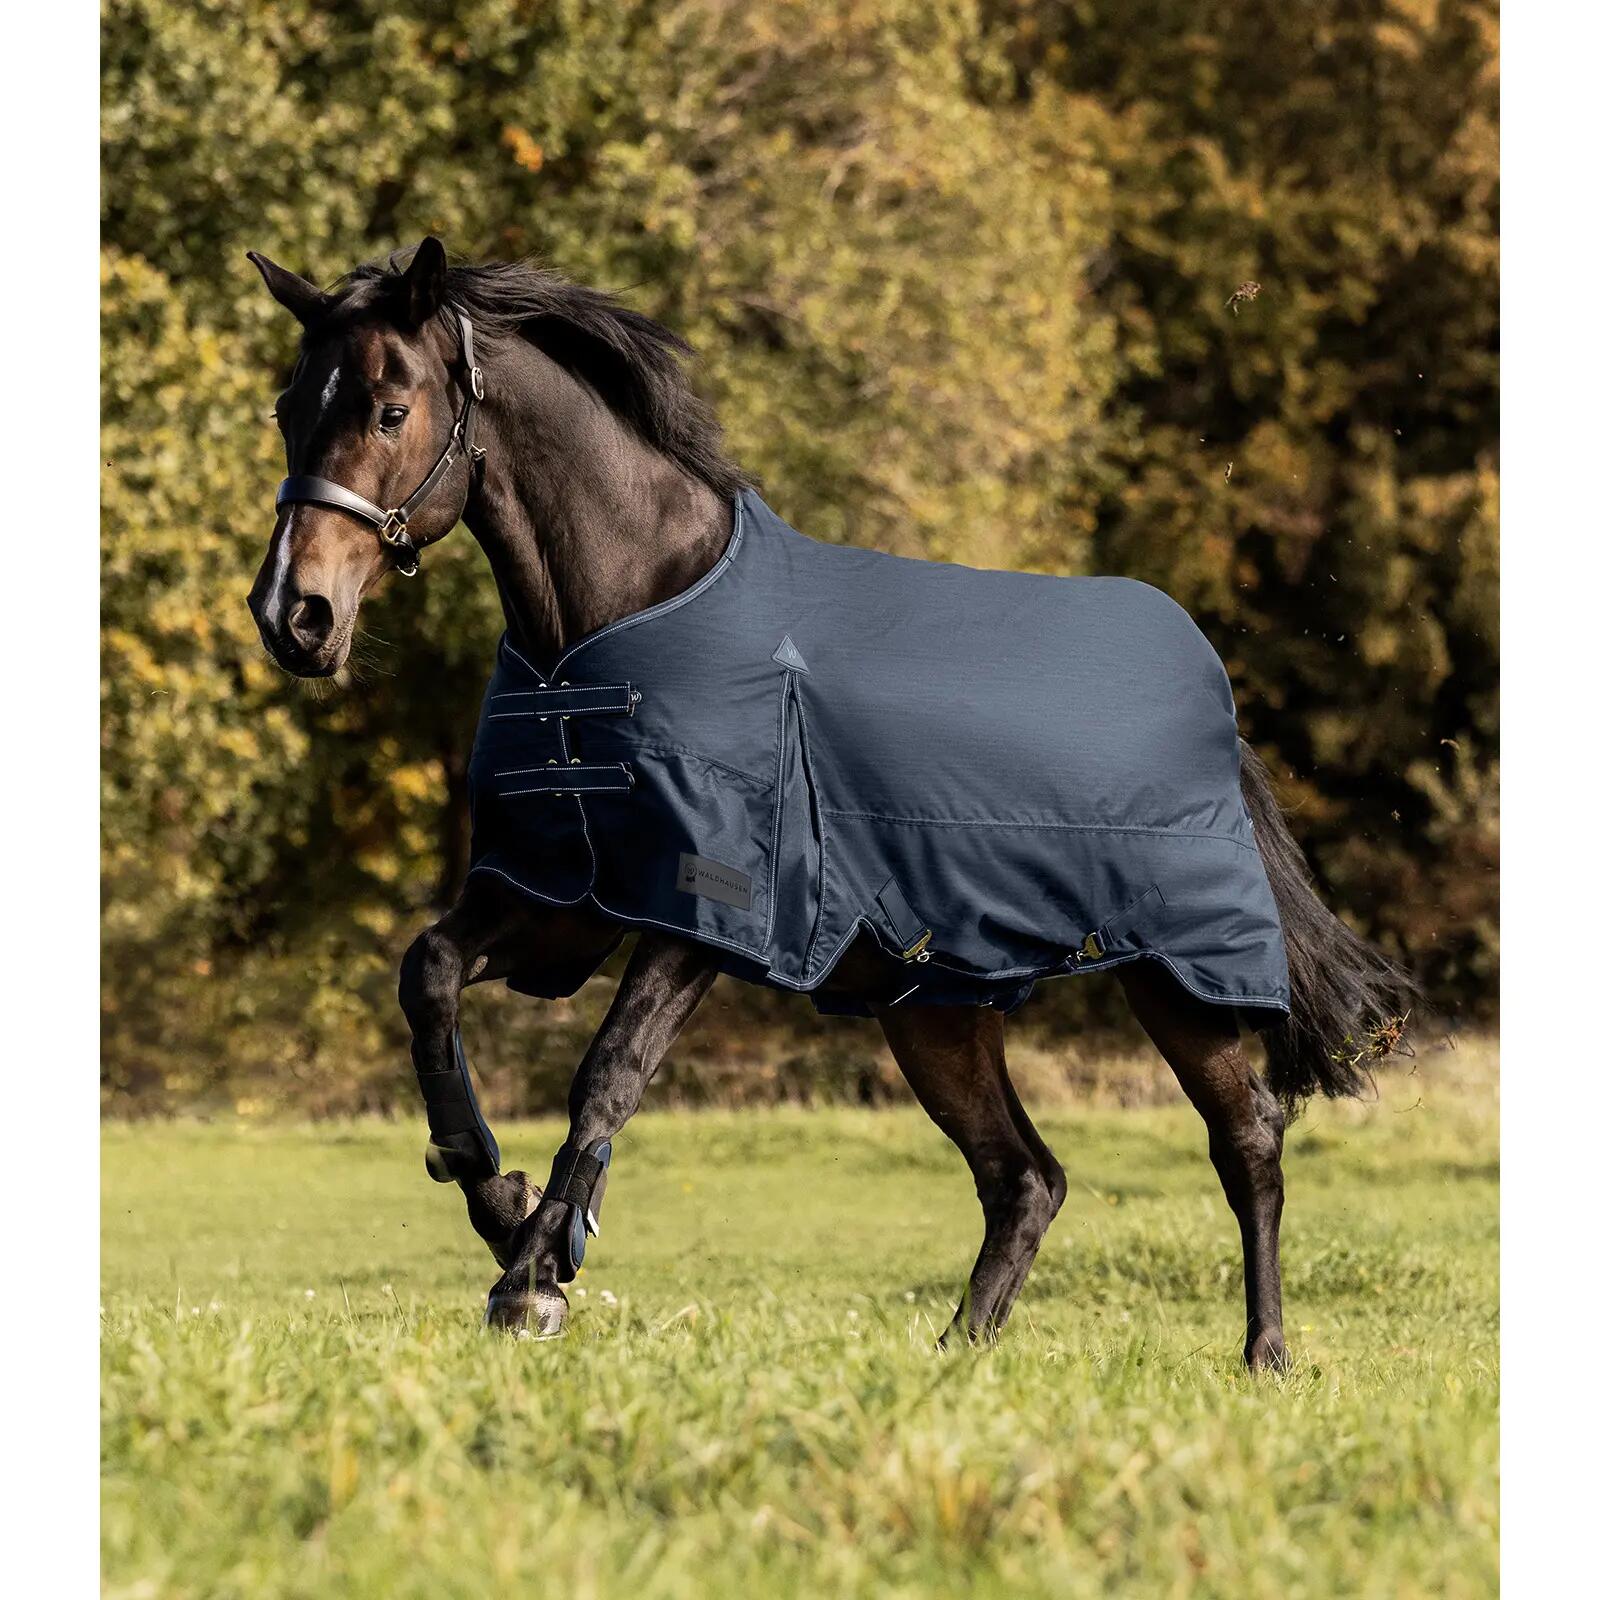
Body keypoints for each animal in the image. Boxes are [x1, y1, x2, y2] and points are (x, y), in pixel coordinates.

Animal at [245, 238, 1414, 1363]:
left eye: (392, 410)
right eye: (290, 407)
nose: (294, 614)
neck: (621, 613)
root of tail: (1207, 693)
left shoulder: (705, 914)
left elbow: (610, 1070)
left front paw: (534, 1277)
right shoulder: (558, 896)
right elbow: (430, 976)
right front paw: (495, 1196)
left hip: (1179, 976)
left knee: (1245, 1135)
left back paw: (1265, 1355)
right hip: (936, 1009)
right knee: (1024, 1178)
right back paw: (954, 1353)